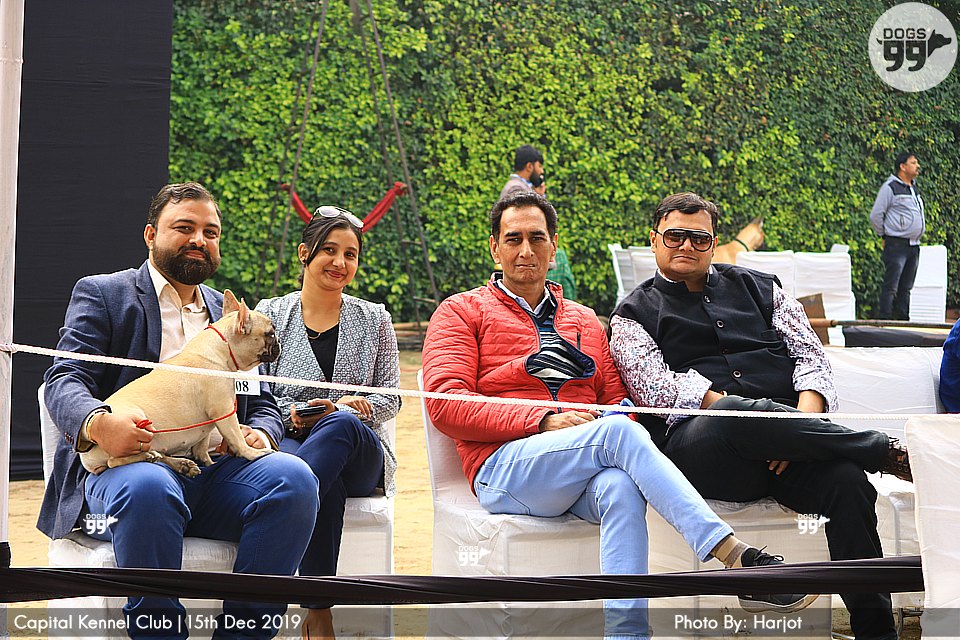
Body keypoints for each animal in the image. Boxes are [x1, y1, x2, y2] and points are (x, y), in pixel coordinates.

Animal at [79, 290, 281, 477]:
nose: (278, 342)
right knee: (114, 461)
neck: (222, 349)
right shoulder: (224, 411)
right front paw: (252, 453)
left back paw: (180, 464)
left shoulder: (210, 421)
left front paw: (207, 462)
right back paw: (148, 456)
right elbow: (237, 438)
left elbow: (202, 445)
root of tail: (86, 457)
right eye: (270, 334)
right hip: (134, 425)